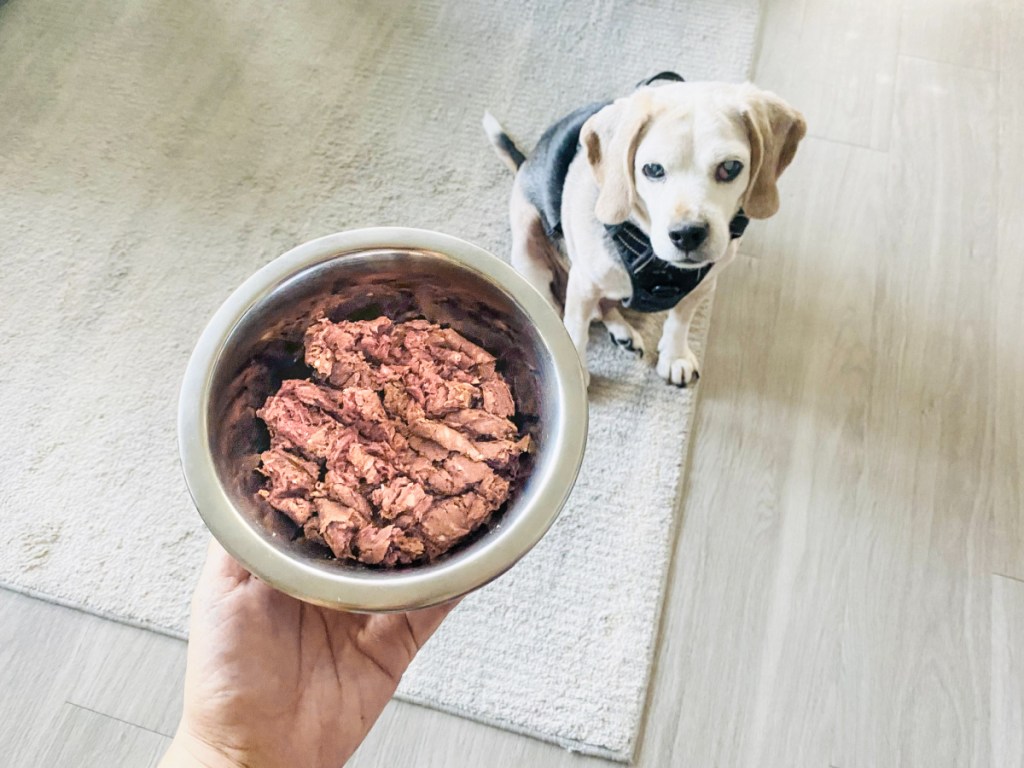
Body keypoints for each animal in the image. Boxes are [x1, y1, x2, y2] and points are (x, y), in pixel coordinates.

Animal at [483, 75, 802, 387]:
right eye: (652, 169)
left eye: (731, 167)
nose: (687, 234)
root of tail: (526, 162)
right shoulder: (584, 284)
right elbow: (575, 330)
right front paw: (578, 368)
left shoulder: (703, 284)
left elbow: (679, 321)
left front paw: (674, 356)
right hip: (527, 249)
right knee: (559, 303)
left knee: (605, 307)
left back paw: (622, 331)